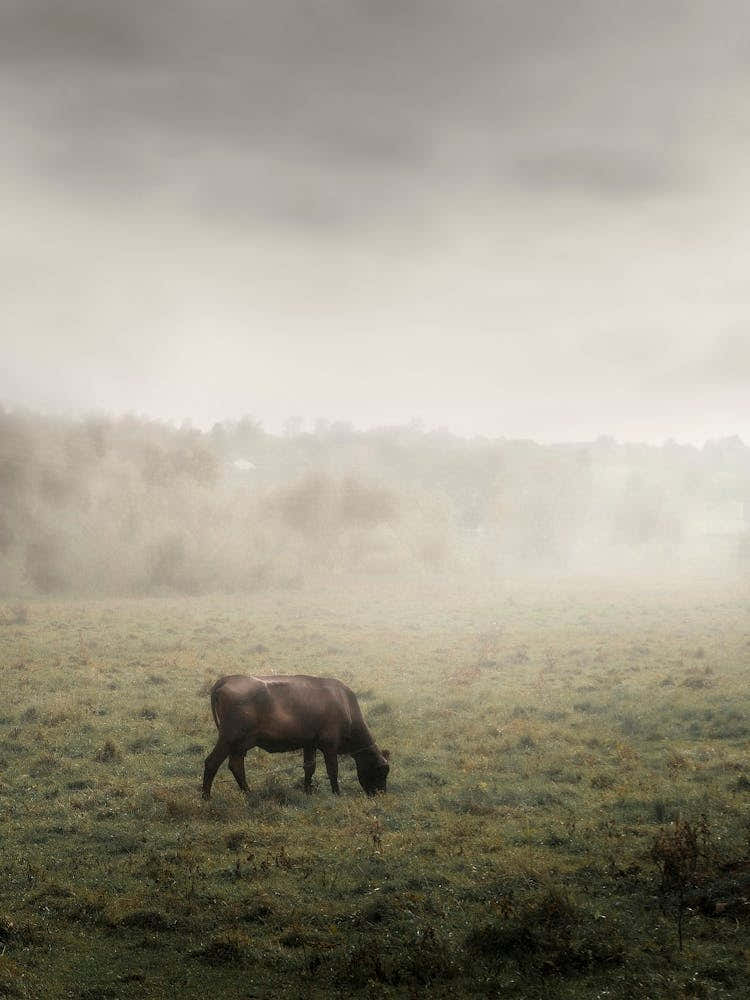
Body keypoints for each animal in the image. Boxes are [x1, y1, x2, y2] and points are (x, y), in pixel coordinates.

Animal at [202, 674, 390, 799]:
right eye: (380, 771)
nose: (381, 794)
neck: (345, 704)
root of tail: (228, 679)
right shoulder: (329, 745)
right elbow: (333, 770)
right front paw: (337, 793)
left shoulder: (309, 744)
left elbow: (309, 767)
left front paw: (308, 790)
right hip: (229, 739)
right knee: (212, 762)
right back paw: (206, 797)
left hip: (240, 744)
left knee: (236, 766)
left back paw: (248, 792)